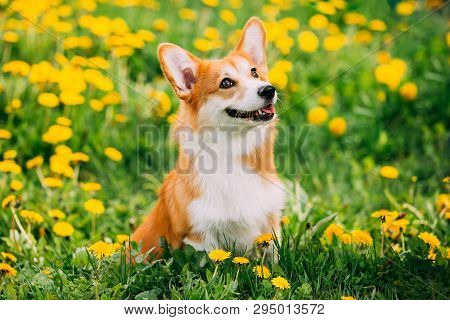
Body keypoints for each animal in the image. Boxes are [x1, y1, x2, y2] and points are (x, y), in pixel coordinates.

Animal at [131, 16, 284, 258]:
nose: (269, 89)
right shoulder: (201, 237)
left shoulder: (270, 226)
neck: (232, 149)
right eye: (226, 83)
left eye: (254, 73)